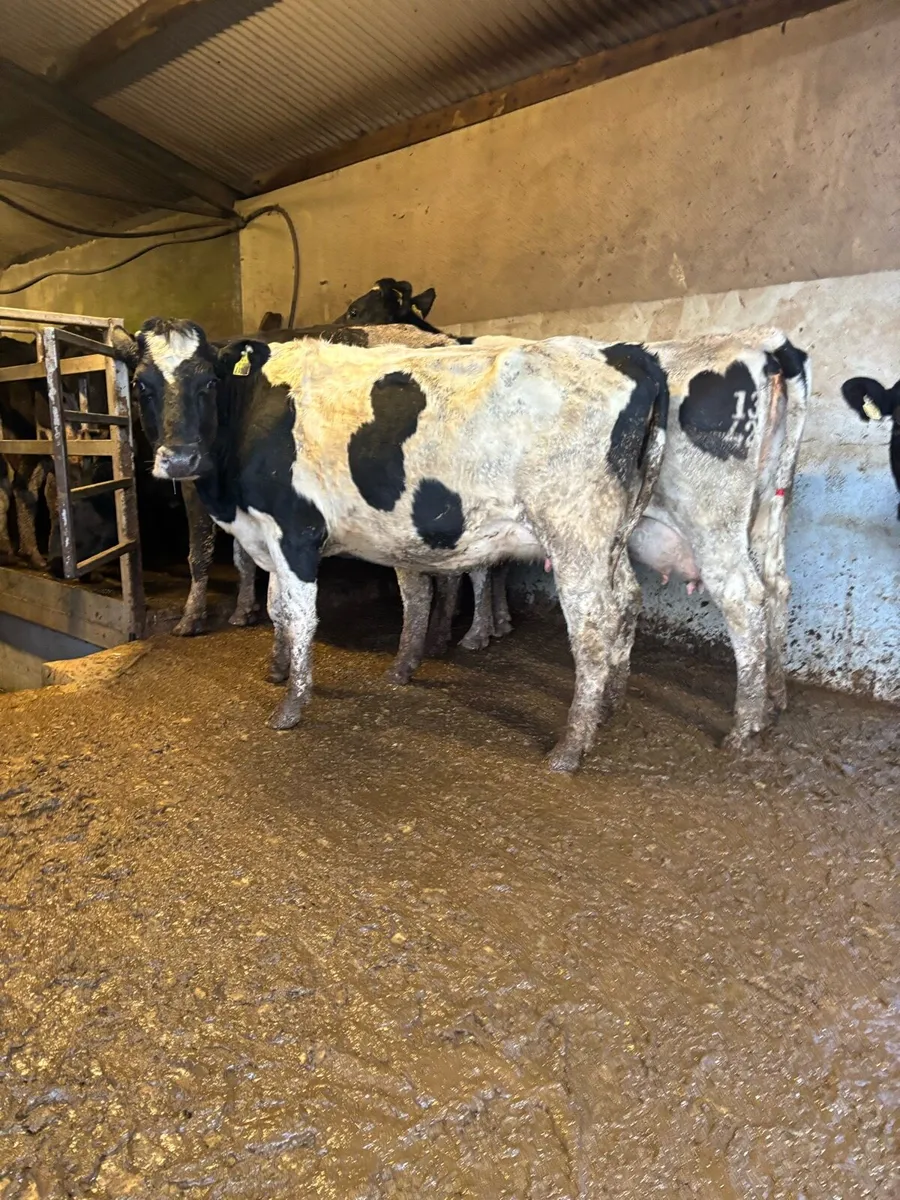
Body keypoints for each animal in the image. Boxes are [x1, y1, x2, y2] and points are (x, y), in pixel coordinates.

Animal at [113, 319, 670, 772]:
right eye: (141, 385)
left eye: (208, 381)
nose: (180, 459)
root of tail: (626, 353)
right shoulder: (265, 534)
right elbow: (275, 608)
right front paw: (277, 668)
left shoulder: (296, 531)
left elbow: (300, 616)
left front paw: (292, 705)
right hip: (612, 537)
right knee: (628, 602)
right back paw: (610, 707)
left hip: (577, 533)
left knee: (594, 628)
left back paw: (570, 748)